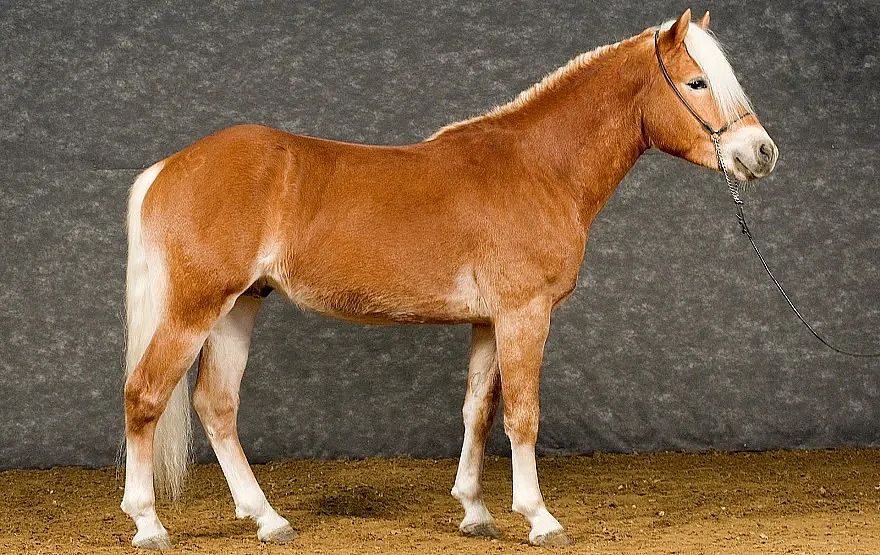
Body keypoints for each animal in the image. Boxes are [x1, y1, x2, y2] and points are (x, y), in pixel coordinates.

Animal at [120, 9, 778, 549]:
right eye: (697, 83)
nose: (761, 153)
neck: (540, 167)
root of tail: (168, 167)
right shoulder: (524, 314)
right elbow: (522, 414)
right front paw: (539, 518)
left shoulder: (489, 321)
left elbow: (477, 411)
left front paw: (475, 511)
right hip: (194, 308)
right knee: (145, 395)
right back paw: (149, 524)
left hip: (240, 305)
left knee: (216, 405)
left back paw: (269, 520)